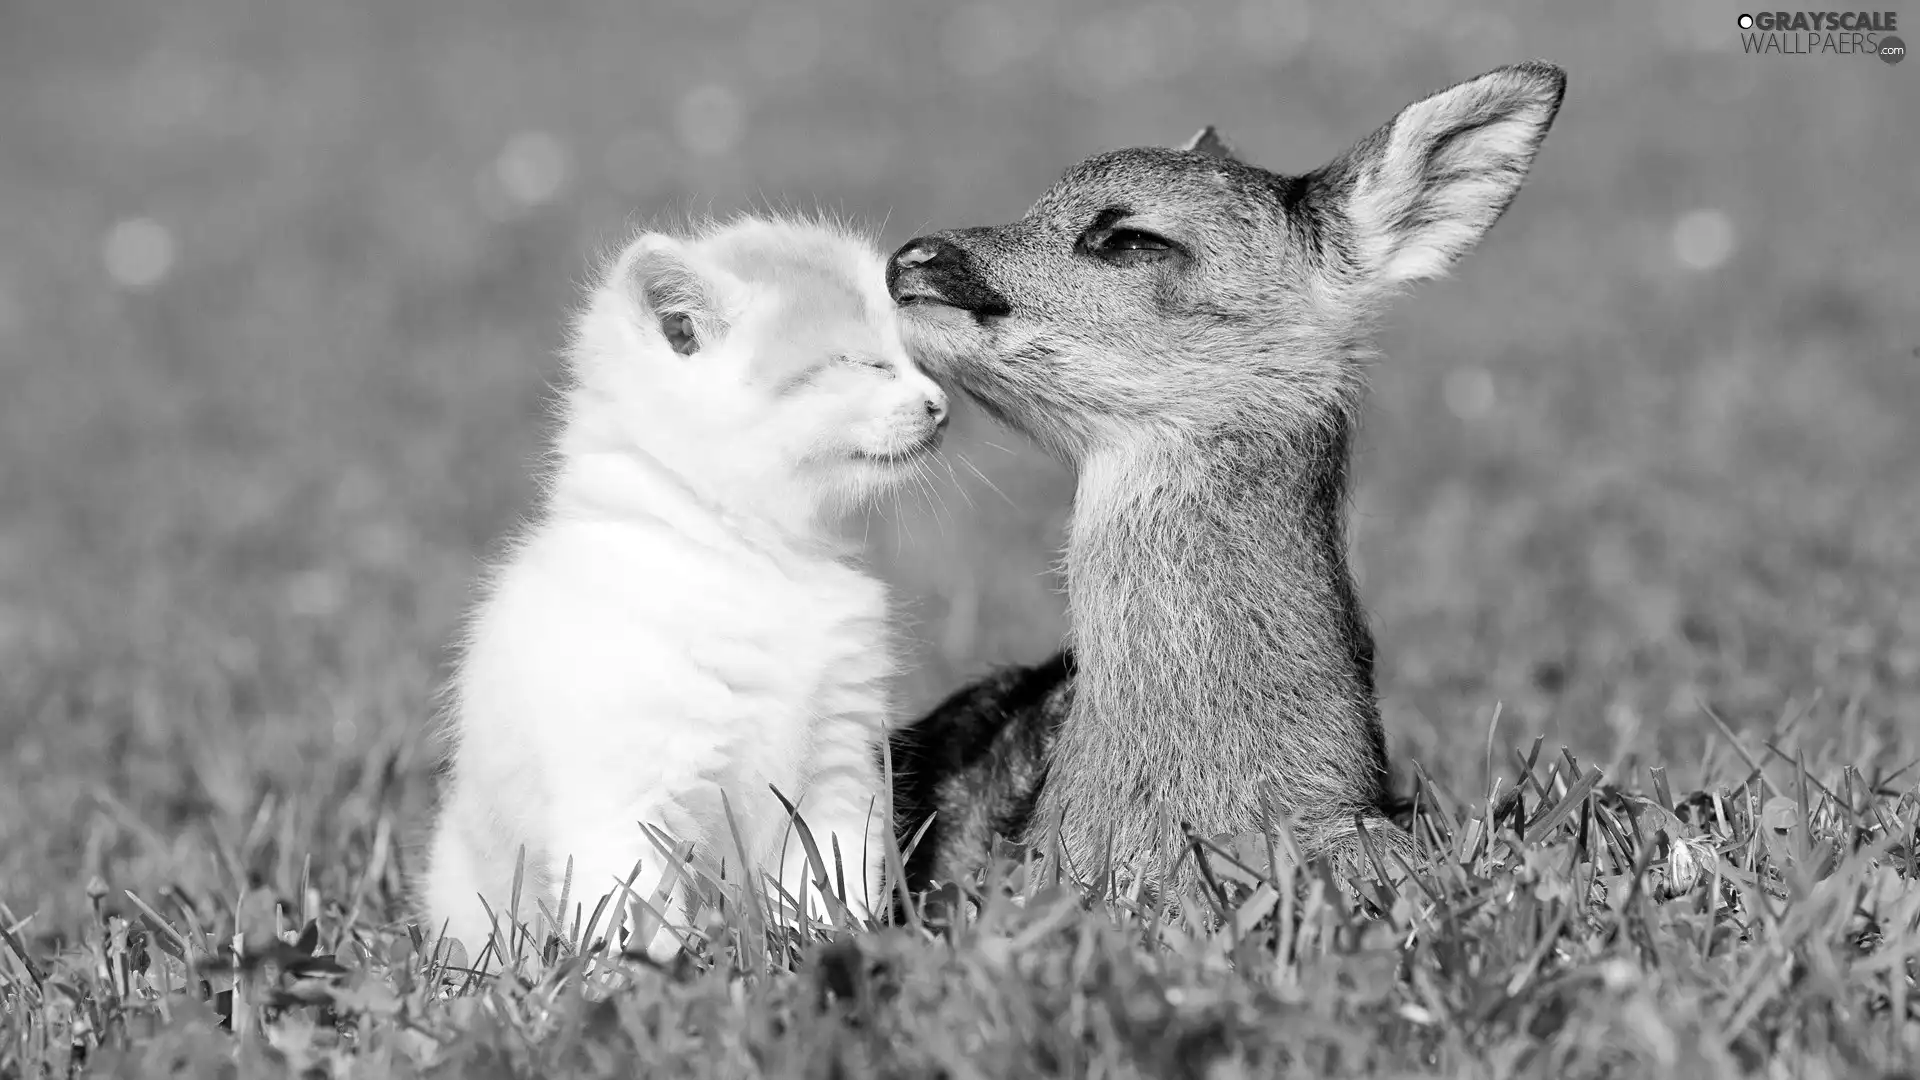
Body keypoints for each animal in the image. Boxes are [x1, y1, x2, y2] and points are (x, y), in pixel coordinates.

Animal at [426, 212, 952, 957]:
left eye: (917, 361)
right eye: (864, 364)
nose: (940, 404)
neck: (761, 559)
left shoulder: (838, 766)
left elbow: (829, 879)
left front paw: (831, 950)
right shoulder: (629, 794)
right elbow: (629, 914)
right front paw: (647, 979)